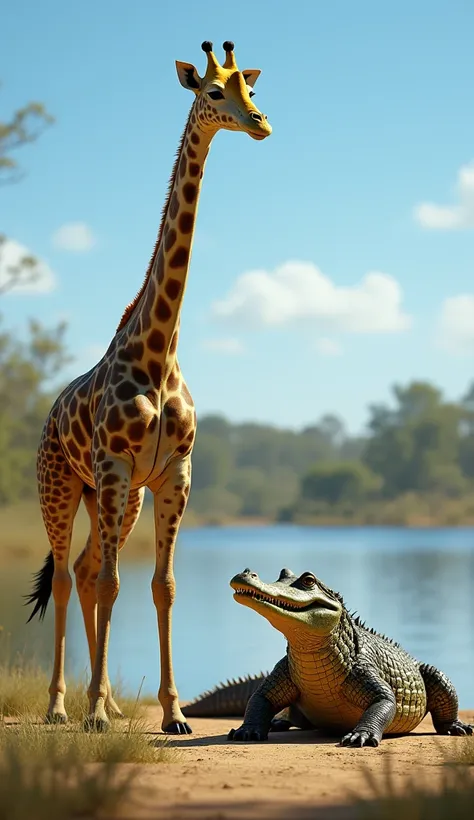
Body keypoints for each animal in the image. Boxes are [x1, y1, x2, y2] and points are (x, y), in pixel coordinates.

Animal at [26, 38, 270, 732]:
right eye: (213, 93)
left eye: (249, 87)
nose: (261, 123)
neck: (161, 353)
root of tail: (48, 418)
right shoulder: (112, 467)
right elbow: (115, 582)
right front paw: (96, 716)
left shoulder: (172, 475)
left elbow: (162, 585)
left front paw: (172, 713)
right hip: (62, 486)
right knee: (67, 575)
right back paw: (63, 706)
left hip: (118, 497)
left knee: (85, 571)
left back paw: (104, 699)